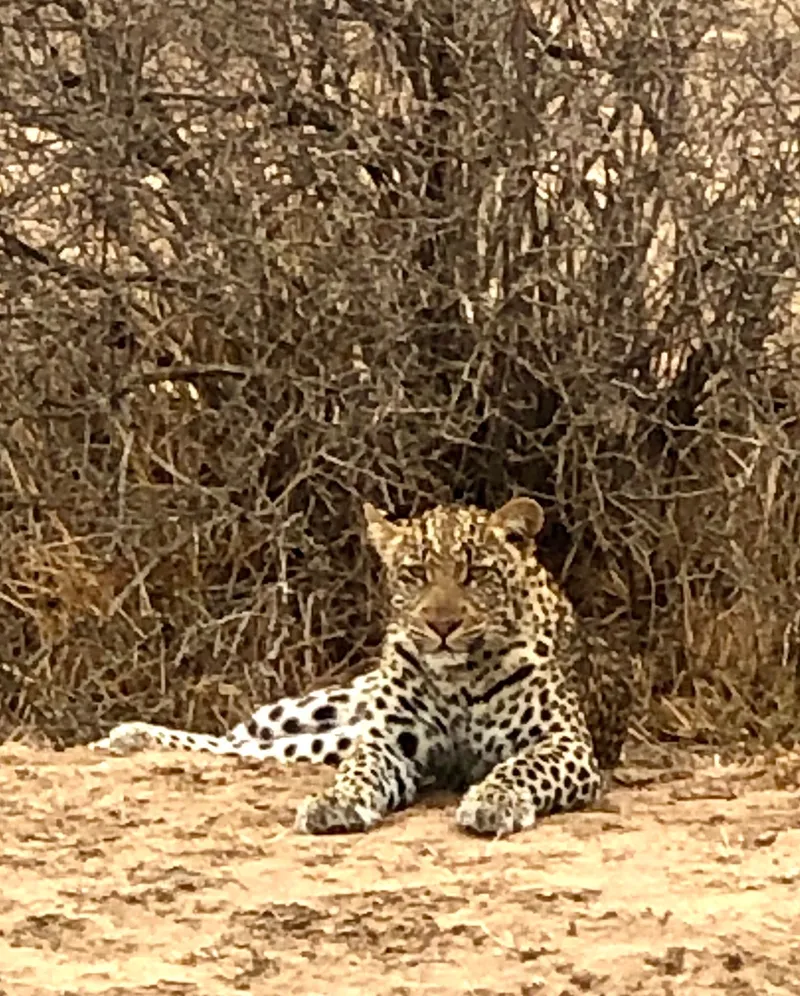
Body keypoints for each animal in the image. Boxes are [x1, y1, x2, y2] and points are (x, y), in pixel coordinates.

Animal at [89, 497, 637, 837]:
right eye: (414, 574)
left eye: (474, 574)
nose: (441, 625)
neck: (456, 680)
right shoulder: (387, 739)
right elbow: (359, 770)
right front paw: (336, 802)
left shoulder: (565, 742)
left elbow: (521, 767)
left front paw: (493, 802)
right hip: (328, 707)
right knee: (246, 738)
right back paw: (128, 736)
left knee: (263, 749)